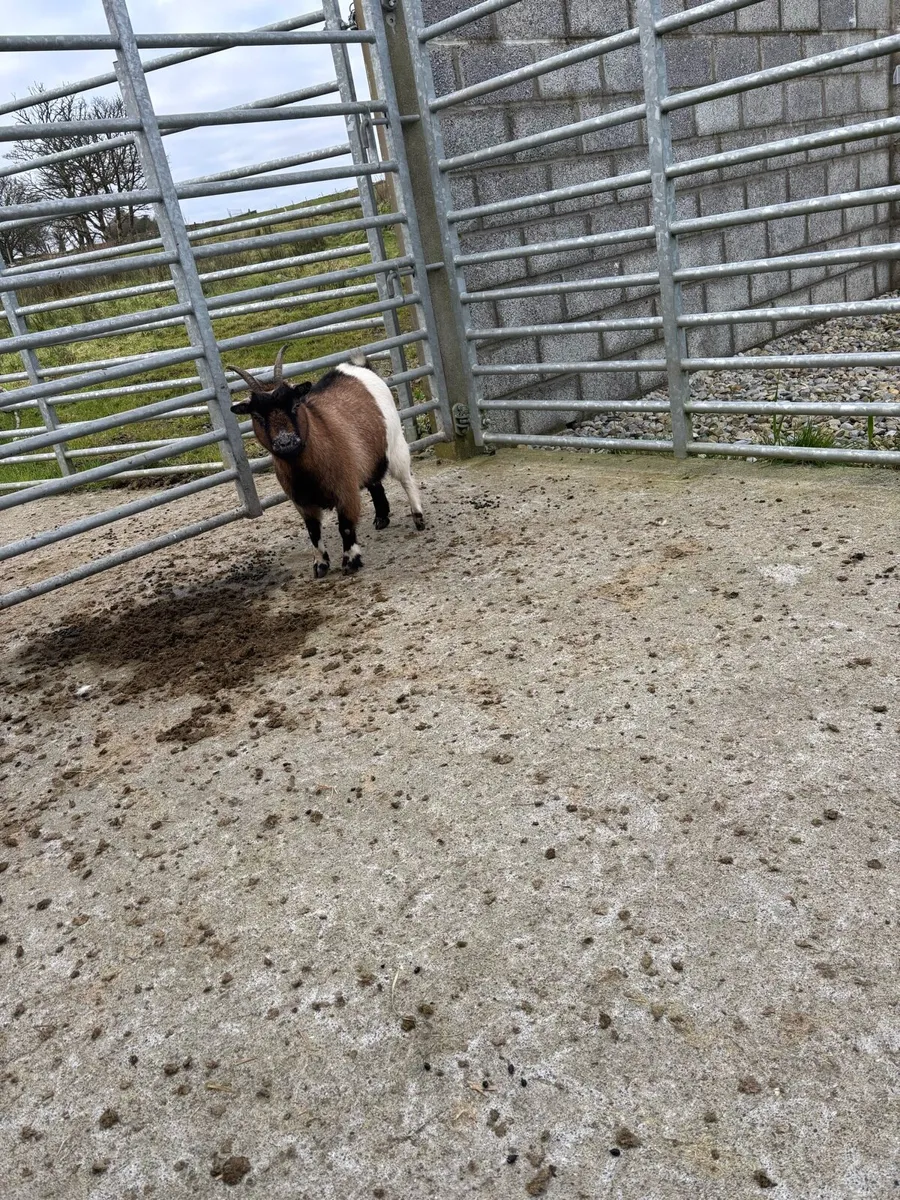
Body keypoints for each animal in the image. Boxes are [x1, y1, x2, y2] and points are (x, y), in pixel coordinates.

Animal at [228, 347, 425, 578]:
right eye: (257, 415)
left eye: (295, 405)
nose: (286, 442)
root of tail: (359, 367)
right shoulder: (302, 502)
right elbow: (313, 532)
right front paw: (320, 565)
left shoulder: (345, 491)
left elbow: (346, 526)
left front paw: (351, 561)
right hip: (367, 455)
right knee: (374, 481)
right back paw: (382, 518)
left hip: (394, 445)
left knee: (406, 479)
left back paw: (418, 517)